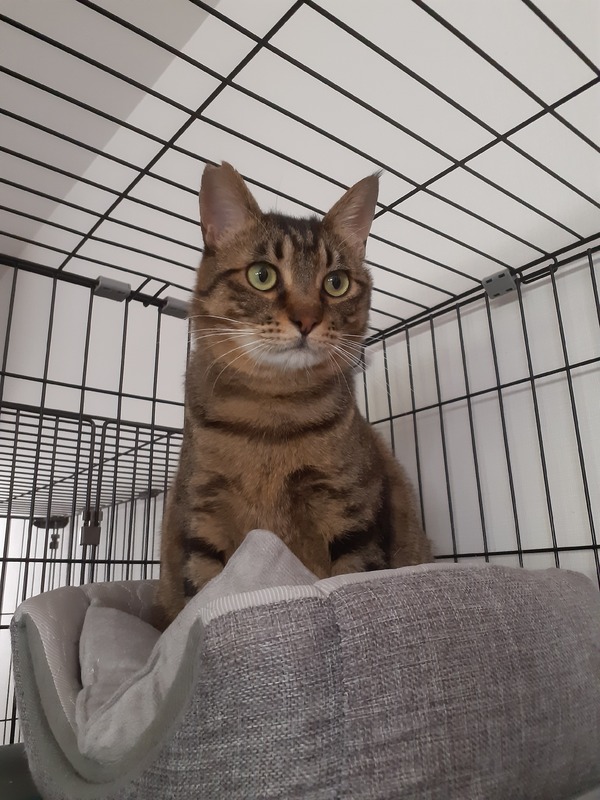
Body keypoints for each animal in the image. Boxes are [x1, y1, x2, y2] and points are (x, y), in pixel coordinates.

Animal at [155, 162, 432, 627]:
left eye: (336, 283)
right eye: (262, 275)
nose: (306, 320)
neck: (268, 414)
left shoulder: (350, 509)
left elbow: (352, 576)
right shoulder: (203, 511)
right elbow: (202, 593)